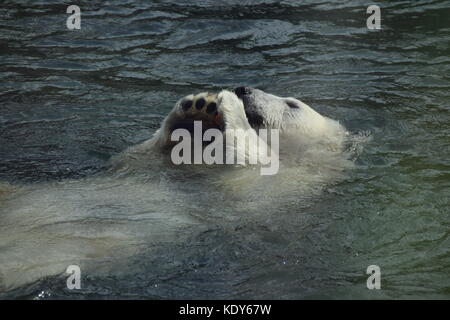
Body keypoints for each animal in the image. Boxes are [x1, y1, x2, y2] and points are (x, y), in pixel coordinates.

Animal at [0, 87, 352, 296]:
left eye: (293, 104)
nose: (244, 89)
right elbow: (143, 159)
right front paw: (195, 108)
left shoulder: (277, 187)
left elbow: (251, 164)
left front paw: (229, 106)